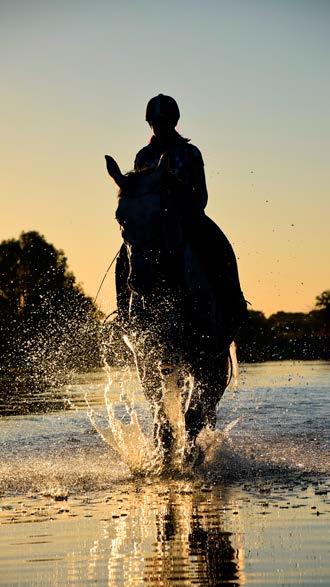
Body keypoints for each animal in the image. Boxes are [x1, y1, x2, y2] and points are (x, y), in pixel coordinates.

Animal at [105, 155, 232, 468]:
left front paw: (189, 459)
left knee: (205, 404)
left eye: (161, 212)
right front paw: (162, 458)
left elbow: (194, 415)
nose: (140, 280)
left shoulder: (205, 357)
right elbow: (160, 412)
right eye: (120, 217)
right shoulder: (146, 356)